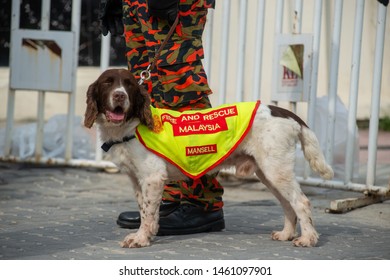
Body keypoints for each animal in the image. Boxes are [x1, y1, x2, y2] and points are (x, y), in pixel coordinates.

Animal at [84, 69, 334, 248]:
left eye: (128, 84)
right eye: (107, 83)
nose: (119, 95)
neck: (131, 126)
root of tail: (288, 114)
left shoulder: (153, 177)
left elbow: (147, 213)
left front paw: (141, 239)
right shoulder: (138, 180)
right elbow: (146, 211)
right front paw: (147, 234)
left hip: (276, 169)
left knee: (301, 202)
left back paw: (308, 239)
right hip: (268, 172)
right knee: (288, 204)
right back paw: (286, 234)